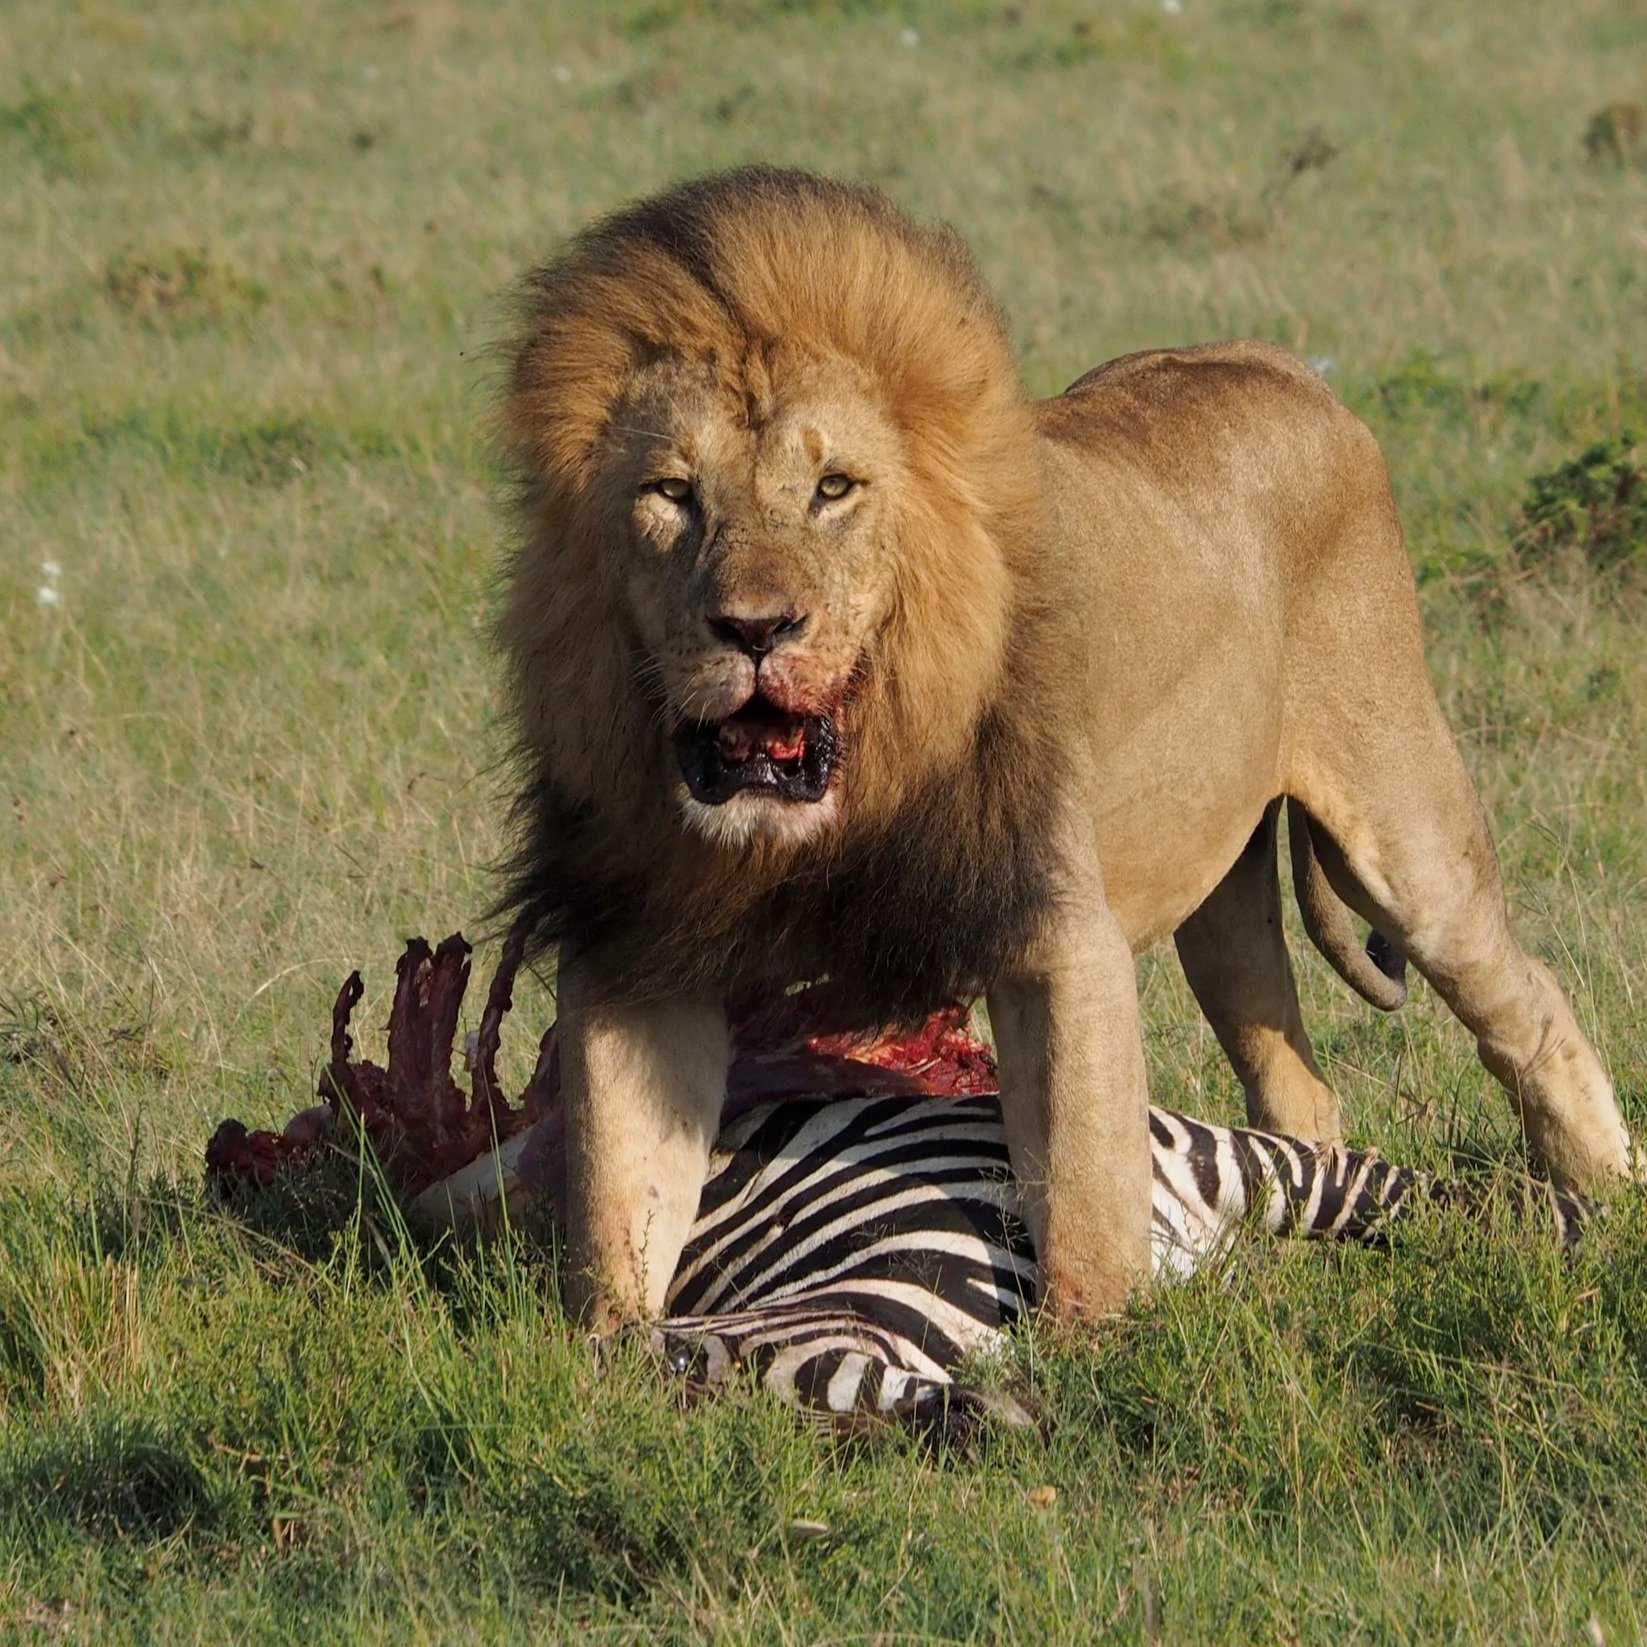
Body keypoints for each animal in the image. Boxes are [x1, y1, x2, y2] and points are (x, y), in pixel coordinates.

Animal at [493, 166, 1635, 1328]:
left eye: (833, 489)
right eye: (672, 494)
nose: (755, 629)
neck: (845, 795)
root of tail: (1280, 365)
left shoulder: (1055, 934)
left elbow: (1082, 1191)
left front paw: (1088, 1352)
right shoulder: (638, 951)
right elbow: (617, 1210)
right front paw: (617, 1355)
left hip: (1401, 830)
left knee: (1527, 1000)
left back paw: (1605, 1200)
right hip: (1218, 903)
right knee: (1293, 1079)